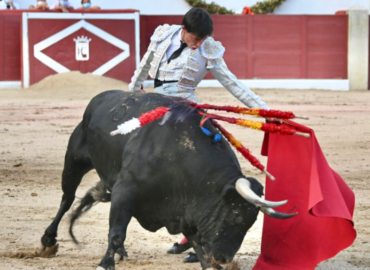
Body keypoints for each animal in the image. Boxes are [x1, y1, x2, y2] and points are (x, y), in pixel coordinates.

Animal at [40, 91, 294, 270]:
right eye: (235, 216)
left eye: (251, 223)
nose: (223, 258)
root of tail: (99, 99)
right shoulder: (125, 190)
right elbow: (116, 232)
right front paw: (104, 264)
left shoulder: (188, 208)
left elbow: (197, 242)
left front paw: (209, 266)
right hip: (74, 160)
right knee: (67, 199)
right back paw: (48, 240)